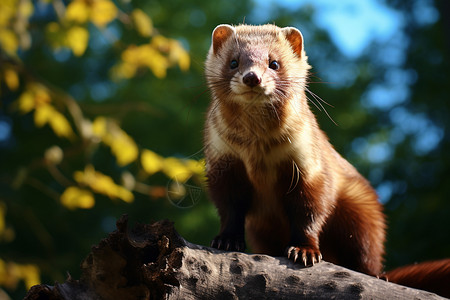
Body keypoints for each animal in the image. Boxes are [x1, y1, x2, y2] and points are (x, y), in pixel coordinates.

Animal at [203, 24, 384, 276]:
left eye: (274, 63)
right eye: (233, 62)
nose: (252, 77)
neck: (258, 152)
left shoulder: (309, 168)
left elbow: (309, 212)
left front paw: (304, 251)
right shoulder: (224, 165)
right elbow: (229, 208)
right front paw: (226, 239)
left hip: (361, 208)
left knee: (366, 248)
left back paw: (378, 274)